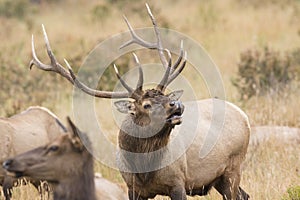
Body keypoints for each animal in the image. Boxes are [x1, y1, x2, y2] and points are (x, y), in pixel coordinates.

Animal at [27, 3, 250, 200]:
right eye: (146, 105)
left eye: (168, 96)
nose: (177, 106)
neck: (143, 171)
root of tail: (243, 115)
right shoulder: (132, 188)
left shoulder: (178, 182)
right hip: (219, 178)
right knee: (244, 195)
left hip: (233, 167)